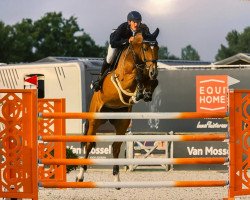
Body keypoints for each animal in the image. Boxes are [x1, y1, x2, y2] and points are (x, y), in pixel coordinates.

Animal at [75, 28, 159, 187]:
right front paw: (138, 93)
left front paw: (145, 94)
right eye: (145, 48)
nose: (154, 71)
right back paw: (80, 176)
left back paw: (116, 178)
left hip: (122, 122)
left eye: (157, 48)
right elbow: (136, 77)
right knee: (88, 144)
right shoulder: (124, 80)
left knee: (116, 147)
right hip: (95, 119)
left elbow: (152, 81)